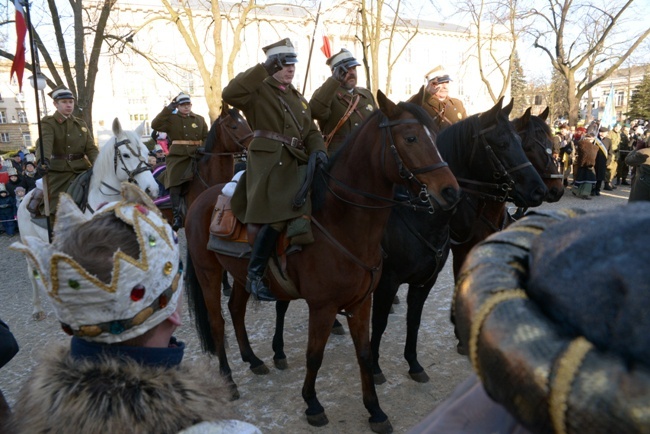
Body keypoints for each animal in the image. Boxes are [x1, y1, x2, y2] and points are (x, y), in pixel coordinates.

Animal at [17, 118, 159, 318]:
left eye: (147, 153)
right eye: (125, 154)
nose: (151, 190)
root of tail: (26, 197)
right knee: (32, 273)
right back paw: (38, 308)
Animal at [182, 90, 458, 430]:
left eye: (435, 134)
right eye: (410, 138)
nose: (451, 191)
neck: (342, 222)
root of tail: (201, 200)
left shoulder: (361, 302)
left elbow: (365, 353)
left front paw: (375, 410)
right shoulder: (324, 306)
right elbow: (314, 356)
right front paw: (312, 404)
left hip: (241, 274)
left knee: (235, 309)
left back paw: (254, 359)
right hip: (208, 273)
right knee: (217, 322)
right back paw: (229, 380)